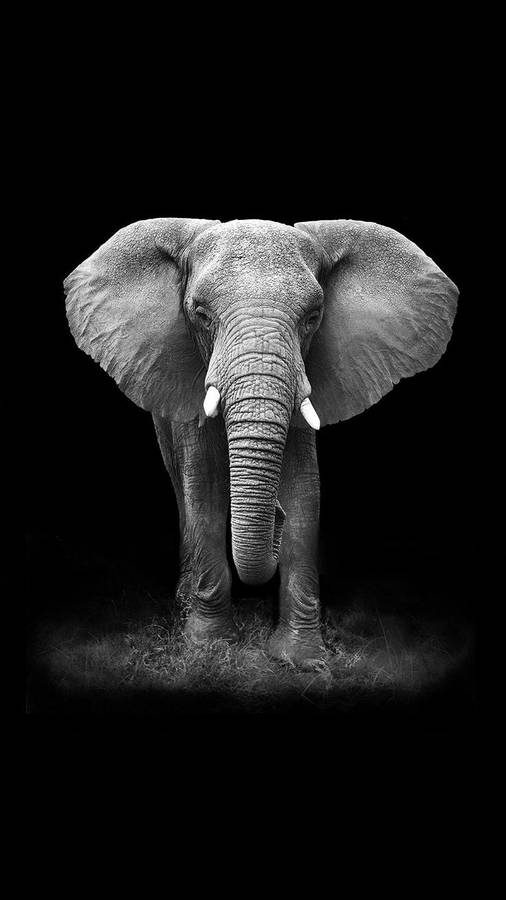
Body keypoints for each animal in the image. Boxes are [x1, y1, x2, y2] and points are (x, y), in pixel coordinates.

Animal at [64, 217, 458, 665]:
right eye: (201, 315)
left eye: (313, 317)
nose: (275, 517)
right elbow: (204, 490)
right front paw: (209, 647)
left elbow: (305, 492)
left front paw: (301, 659)